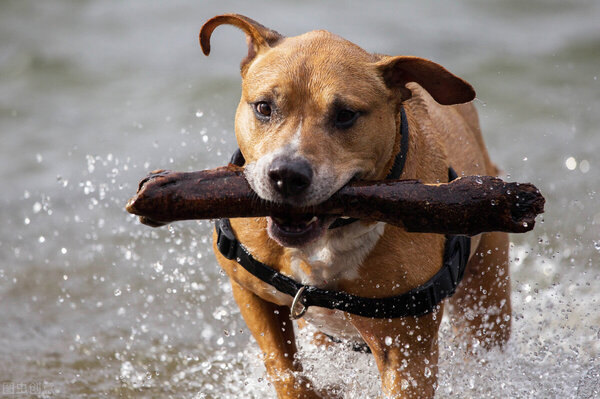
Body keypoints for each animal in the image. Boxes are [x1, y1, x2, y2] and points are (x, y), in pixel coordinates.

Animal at [199, 14, 508, 398]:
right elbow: (284, 369)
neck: (331, 234)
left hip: (487, 291)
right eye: (264, 108)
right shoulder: (249, 290)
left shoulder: (407, 345)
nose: (286, 174)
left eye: (345, 115)